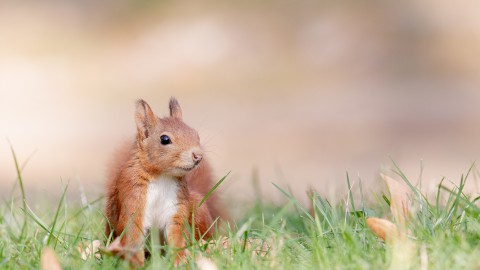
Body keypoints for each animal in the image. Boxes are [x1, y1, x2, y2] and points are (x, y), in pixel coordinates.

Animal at [105, 97, 225, 266]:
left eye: (196, 134)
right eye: (165, 139)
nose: (198, 156)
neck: (162, 176)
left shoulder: (176, 206)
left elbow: (177, 235)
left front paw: (179, 261)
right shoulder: (133, 196)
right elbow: (133, 233)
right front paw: (136, 263)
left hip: (197, 207)